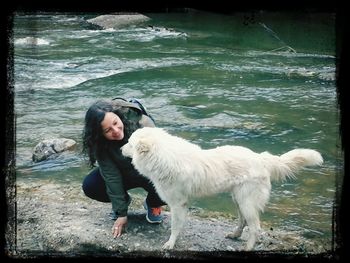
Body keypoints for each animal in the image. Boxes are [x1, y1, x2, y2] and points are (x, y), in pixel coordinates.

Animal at [121, 128, 322, 252]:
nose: (121, 148)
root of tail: (261, 158)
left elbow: (175, 227)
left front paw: (170, 244)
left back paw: (247, 248)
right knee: (243, 221)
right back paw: (234, 235)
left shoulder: (178, 204)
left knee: (255, 227)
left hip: (246, 201)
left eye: (130, 143)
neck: (161, 156)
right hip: (238, 199)